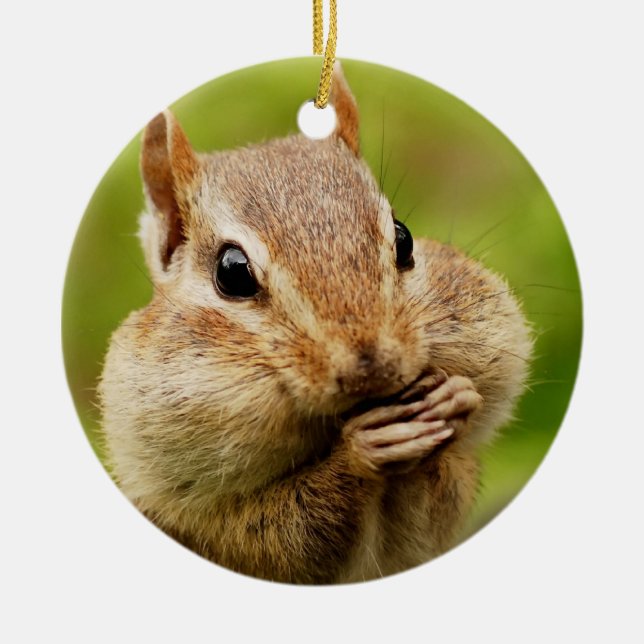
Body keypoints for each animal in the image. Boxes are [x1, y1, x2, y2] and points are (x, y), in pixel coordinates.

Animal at [98, 63, 532, 584]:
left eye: (404, 238)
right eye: (232, 272)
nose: (375, 369)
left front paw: (456, 398)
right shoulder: (224, 531)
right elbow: (293, 538)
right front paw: (361, 450)